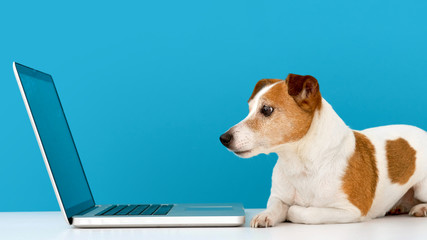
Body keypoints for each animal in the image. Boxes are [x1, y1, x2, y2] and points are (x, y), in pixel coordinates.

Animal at [221, 74, 427, 228]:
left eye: (266, 109)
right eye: (249, 109)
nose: (223, 138)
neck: (299, 162)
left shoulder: (349, 210)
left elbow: (302, 212)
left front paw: (292, 211)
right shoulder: (278, 197)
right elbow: (275, 206)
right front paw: (266, 215)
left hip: (422, 188)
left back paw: (421, 209)